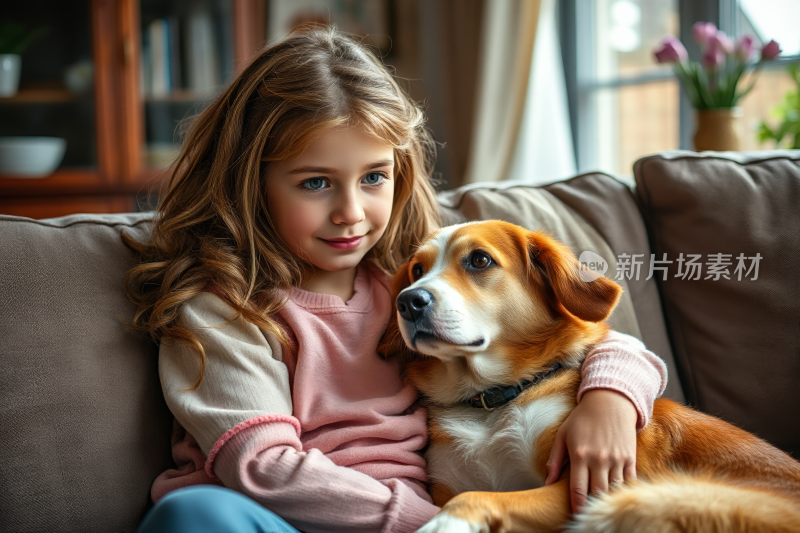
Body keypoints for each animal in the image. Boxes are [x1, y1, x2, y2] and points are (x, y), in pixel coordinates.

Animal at [378, 220, 800, 532]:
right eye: (416, 270)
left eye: (479, 260)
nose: (408, 301)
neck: (491, 401)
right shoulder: (444, 485)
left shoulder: (578, 489)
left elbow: (474, 498)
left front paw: (442, 524)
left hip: (634, 501)